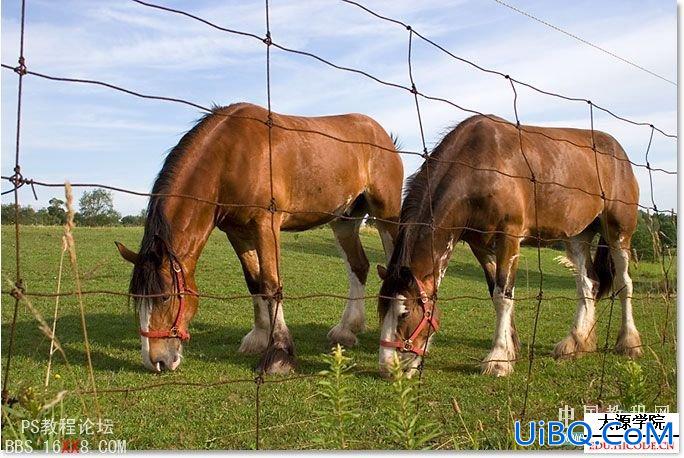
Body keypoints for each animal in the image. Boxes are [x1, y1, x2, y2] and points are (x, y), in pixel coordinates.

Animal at [111, 102, 400, 374]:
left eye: (164, 297)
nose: (155, 361)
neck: (230, 157)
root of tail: (382, 134)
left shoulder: (265, 226)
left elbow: (271, 283)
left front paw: (279, 353)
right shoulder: (238, 233)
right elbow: (255, 282)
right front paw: (259, 337)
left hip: (387, 215)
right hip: (344, 221)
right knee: (358, 266)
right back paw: (346, 330)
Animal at [376, 115, 644, 380]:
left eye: (404, 313)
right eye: (380, 309)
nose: (389, 368)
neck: (479, 167)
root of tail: (619, 152)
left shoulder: (509, 237)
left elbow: (503, 295)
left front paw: (498, 359)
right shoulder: (480, 245)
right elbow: (495, 291)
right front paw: (510, 346)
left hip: (618, 233)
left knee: (624, 283)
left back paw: (629, 343)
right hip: (577, 237)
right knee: (588, 284)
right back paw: (575, 343)